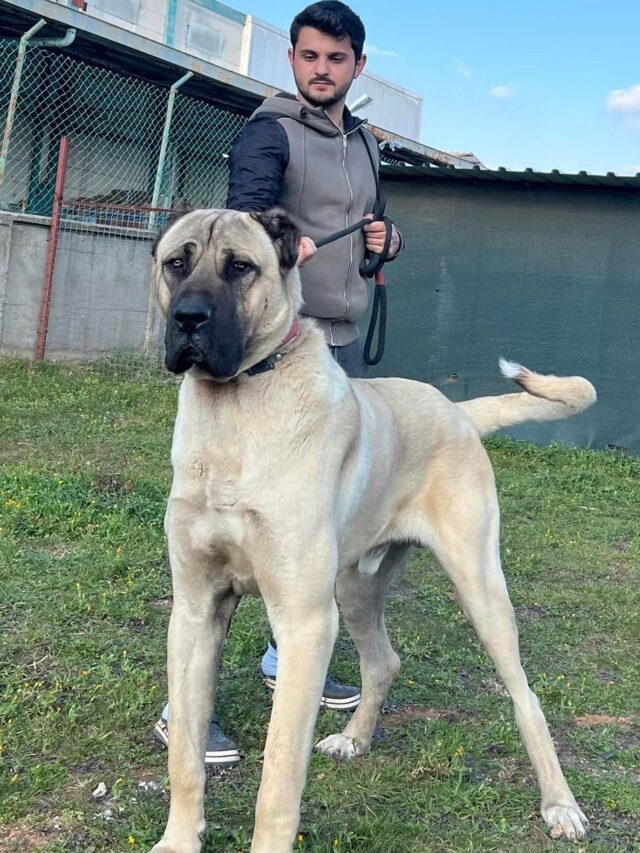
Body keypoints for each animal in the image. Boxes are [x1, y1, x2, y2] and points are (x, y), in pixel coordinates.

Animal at [150, 208, 596, 852]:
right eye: (175, 263)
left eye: (240, 267)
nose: (188, 318)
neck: (235, 411)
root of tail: (457, 411)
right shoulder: (194, 610)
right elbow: (185, 754)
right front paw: (180, 838)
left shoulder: (305, 623)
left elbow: (278, 779)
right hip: (354, 587)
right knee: (384, 662)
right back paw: (356, 738)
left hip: (479, 587)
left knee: (525, 695)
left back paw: (560, 804)